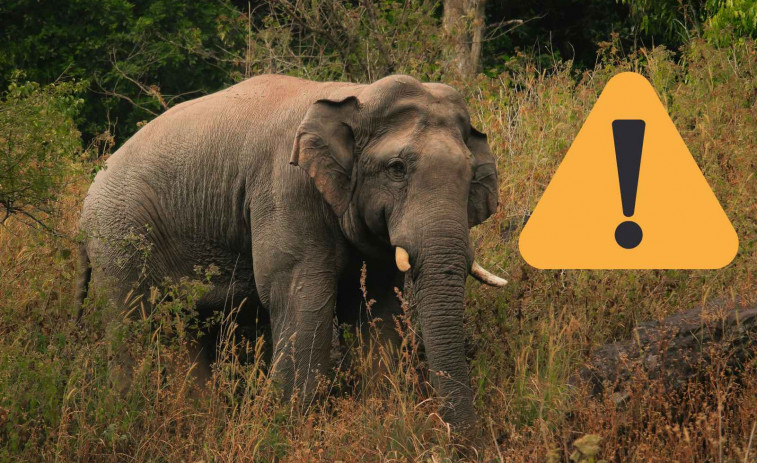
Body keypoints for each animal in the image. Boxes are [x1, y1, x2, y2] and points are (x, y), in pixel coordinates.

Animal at [76, 73, 507, 427]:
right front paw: (288, 426)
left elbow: (377, 306)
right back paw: (128, 418)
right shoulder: (286, 190)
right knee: (132, 323)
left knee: (189, 328)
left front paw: (384, 421)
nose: (464, 444)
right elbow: (301, 296)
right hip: (118, 233)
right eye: (397, 168)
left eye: (470, 174)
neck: (356, 95)